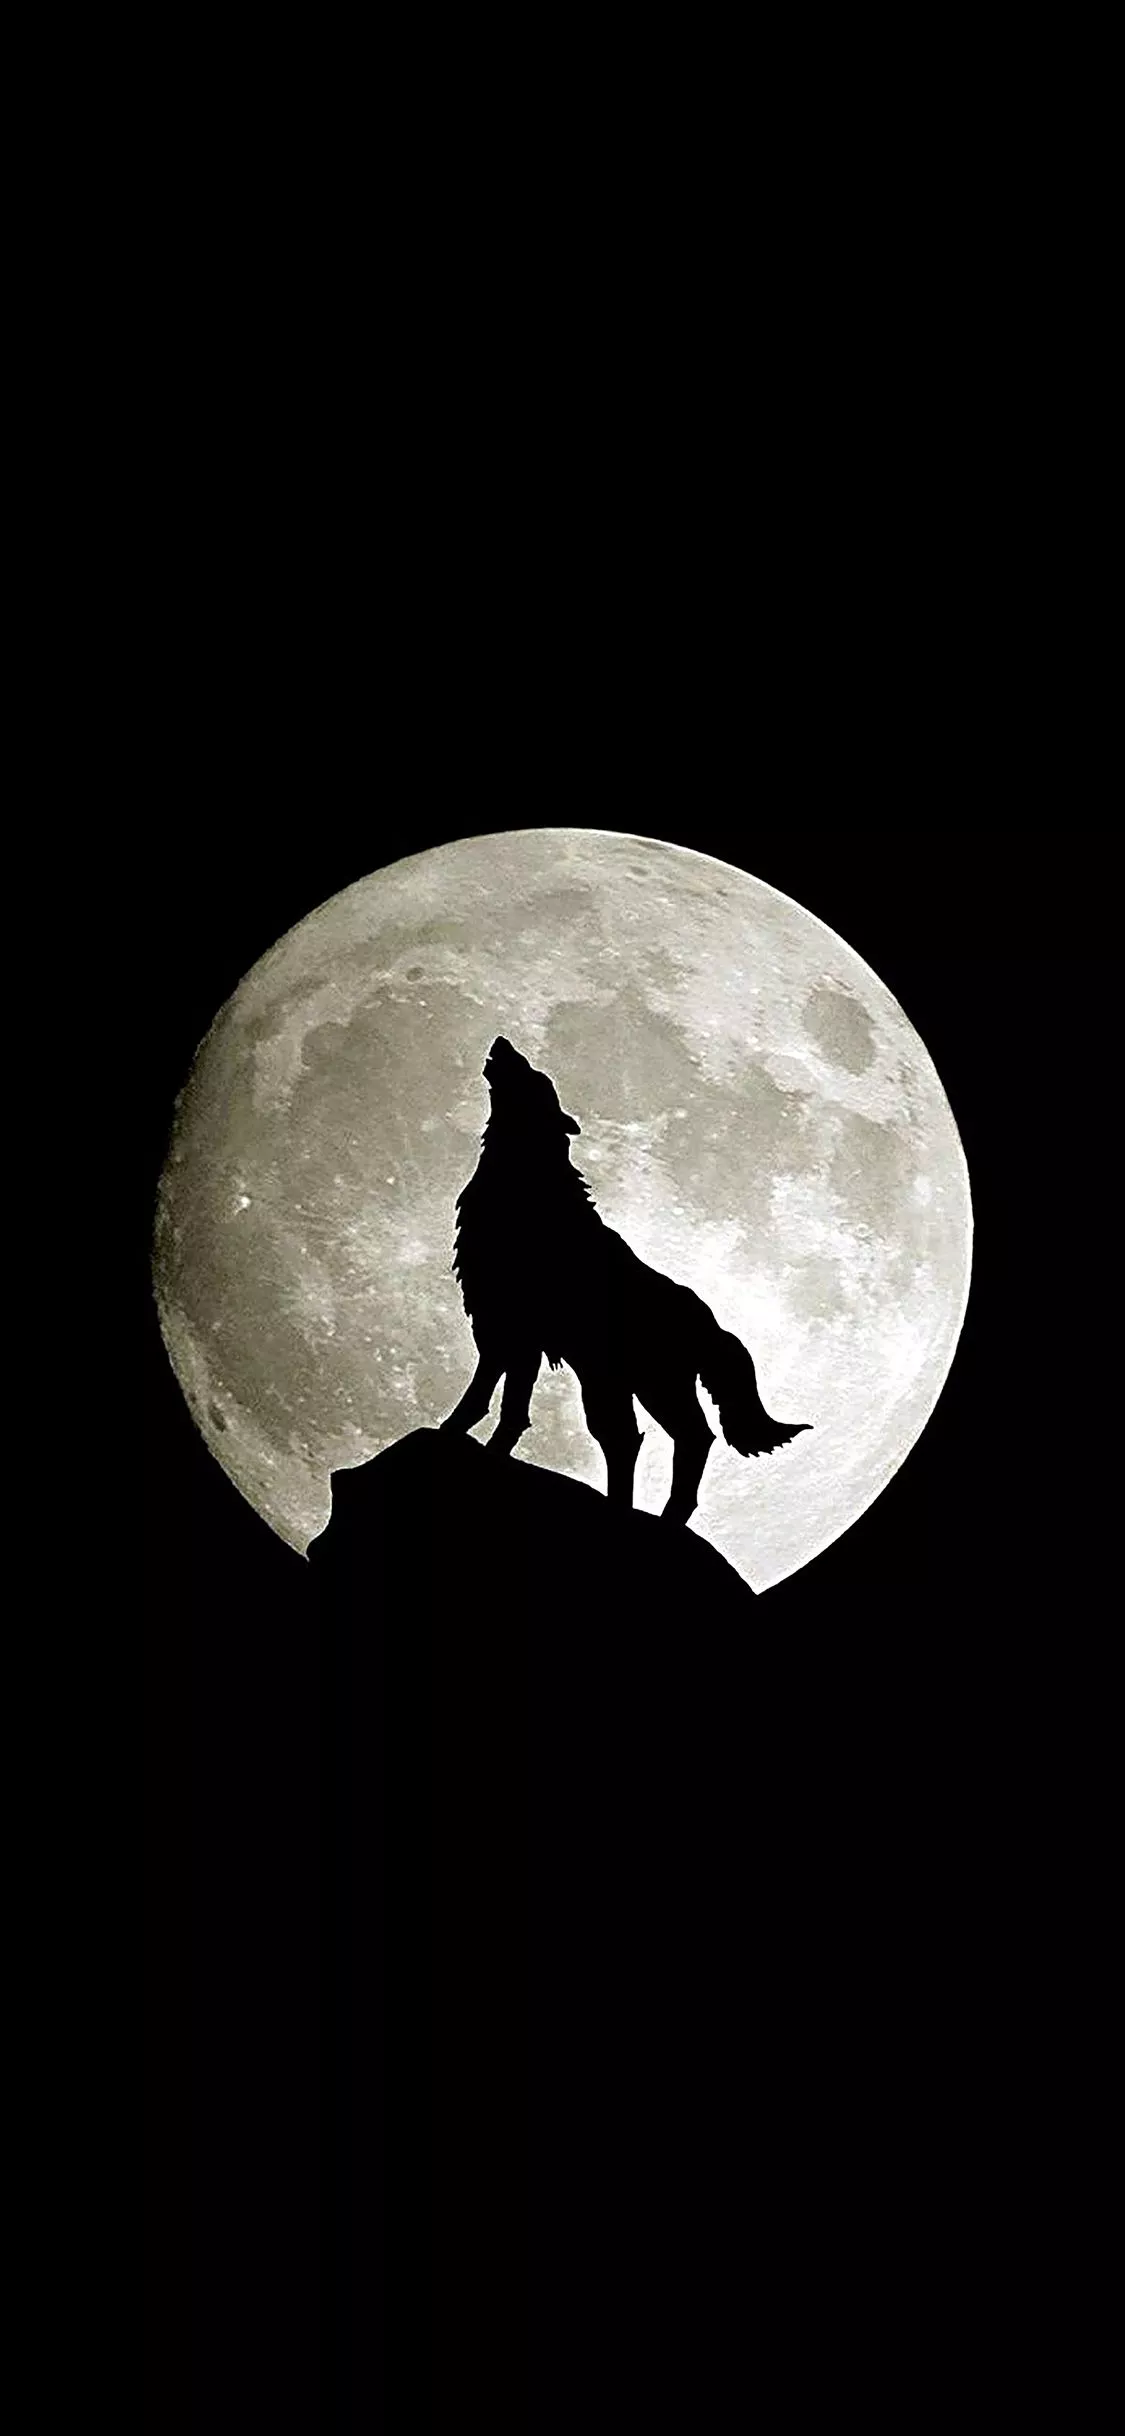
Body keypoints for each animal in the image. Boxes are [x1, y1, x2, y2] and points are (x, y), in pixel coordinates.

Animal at [440, 1037, 810, 1524]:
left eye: (537, 1077)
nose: (504, 1043)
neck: (528, 1184)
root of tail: (711, 1322)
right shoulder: (510, 1332)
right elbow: (505, 1402)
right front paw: (479, 1444)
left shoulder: (511, 1327)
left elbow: (490, 1398)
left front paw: (455, 1435)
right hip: (611, 1382)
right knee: (628, 1439)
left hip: (647, 1385)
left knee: (685, 1437)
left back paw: (662, 1516)